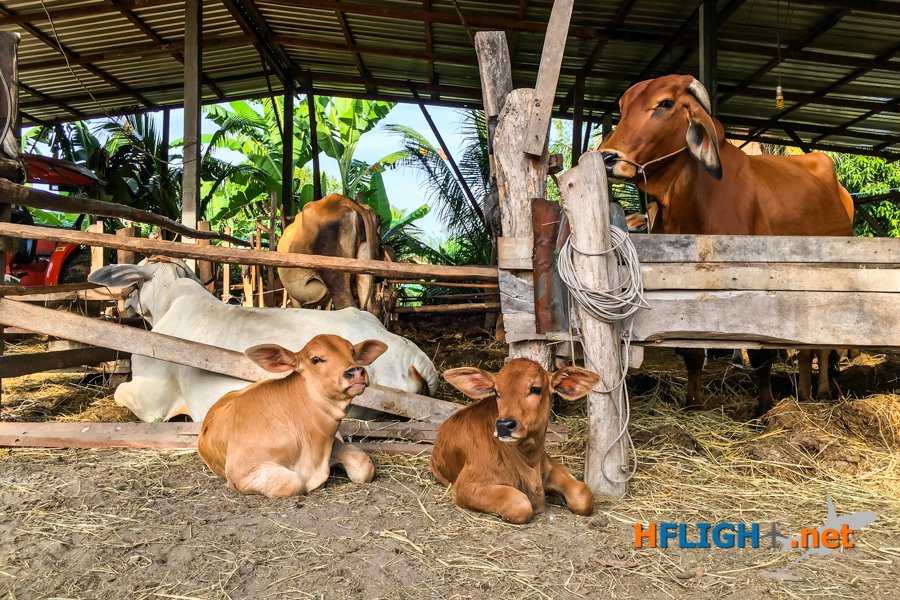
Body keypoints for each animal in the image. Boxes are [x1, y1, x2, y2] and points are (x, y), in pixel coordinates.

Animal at [88, 257, 439, 422]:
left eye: (134, 284)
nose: (123, 304)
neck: (172, 300)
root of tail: (409, 353)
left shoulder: (152, 400)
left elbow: (118, 392)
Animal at [198, 335, 386, 498]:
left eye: (352, 352)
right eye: (316, 359)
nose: (355, 371)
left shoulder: (332, 445)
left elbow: (364, 466)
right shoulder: (240, 472)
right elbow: (292, 483)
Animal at [431, 358, 599, 524]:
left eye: (535, 388)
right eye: (496, 392)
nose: (504, 425)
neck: (529, 462)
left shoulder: (552, 466)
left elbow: (583, 495)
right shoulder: (465, 486)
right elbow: (520, 503)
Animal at [599, 74, 854, 413]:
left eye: (665, 103)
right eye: (623, 107)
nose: (606, 158)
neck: (696, 204)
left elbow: (760, 353)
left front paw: (765, 405)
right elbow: (693, 351)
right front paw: (693, 402)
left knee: (819, 346)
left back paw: (822, 390)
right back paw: (804, 390)